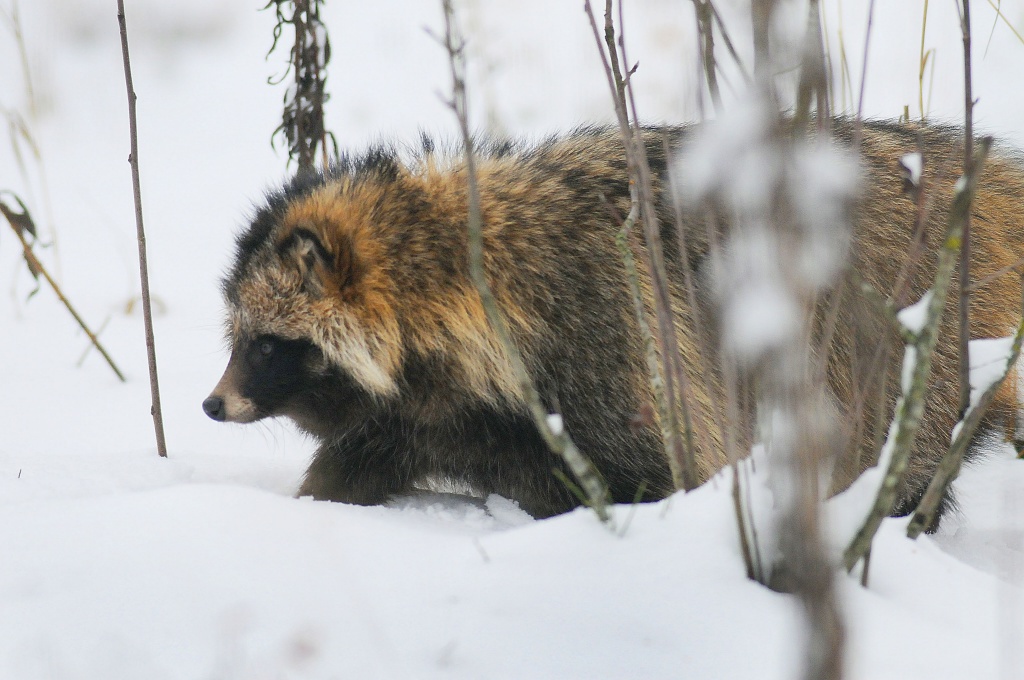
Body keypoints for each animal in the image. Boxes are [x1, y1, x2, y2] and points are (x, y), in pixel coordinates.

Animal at [205, 122, 1024, 522]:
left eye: (269, 345)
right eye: (240, 339)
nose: (213, 403)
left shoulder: (616, 352)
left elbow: (665, 476)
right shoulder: (422, 414)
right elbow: (348, 467)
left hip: (901, 355)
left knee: (898, 463)